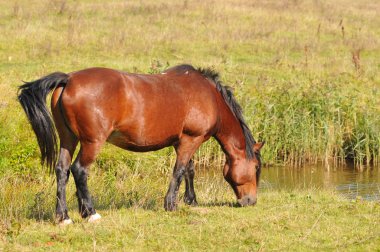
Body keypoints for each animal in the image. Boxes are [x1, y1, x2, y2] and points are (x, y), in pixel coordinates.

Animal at [17, 64, 264, 224]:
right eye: (256, 168)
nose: (250, 201)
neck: (209, 95)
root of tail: (69, 79)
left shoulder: (186, 141)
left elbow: (189, 170)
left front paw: (191, 200)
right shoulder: (190, 140)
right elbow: (179, 171)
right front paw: (171, 204)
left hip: (69, 139)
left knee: (62, 170)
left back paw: (64, 216)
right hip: (91, 142)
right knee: (79, 170)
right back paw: (91, 213)